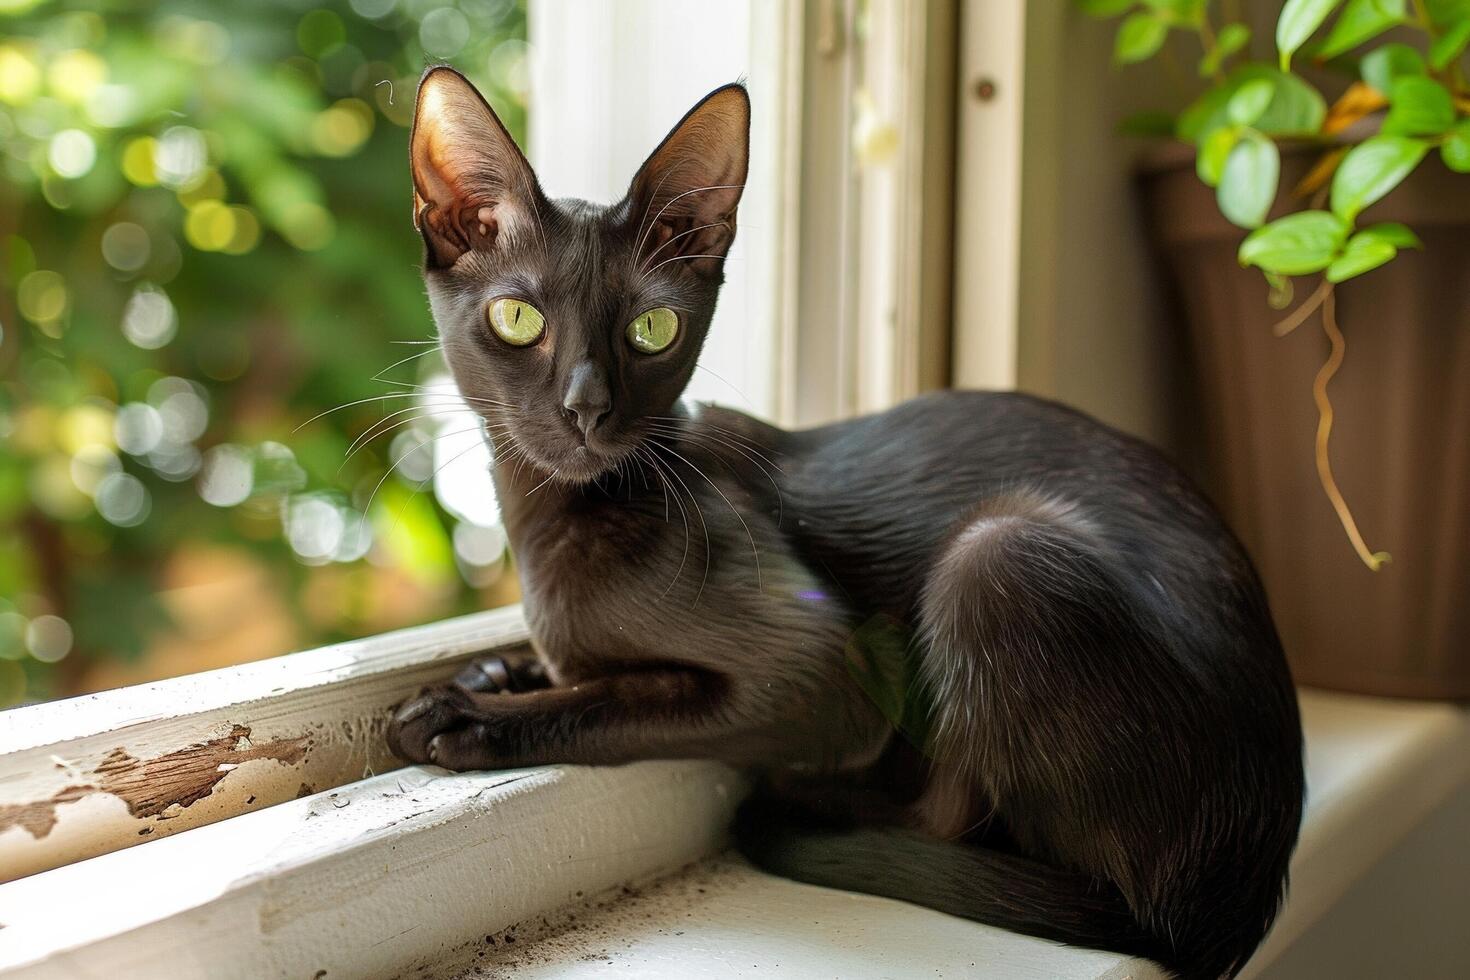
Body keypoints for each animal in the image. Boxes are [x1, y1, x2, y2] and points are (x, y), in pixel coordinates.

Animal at [388, 69, 1299, 980]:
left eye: (652, 329)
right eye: (518, 320)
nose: (587, 407)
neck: (547, 524)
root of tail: (1231, 907)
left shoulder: (824, 674)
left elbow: (616, 700)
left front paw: (469, 715)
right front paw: (495, 672)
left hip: (996, 557)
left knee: (948, 814)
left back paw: (814, 805)